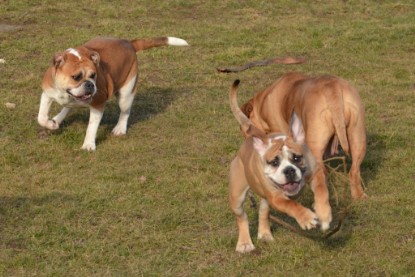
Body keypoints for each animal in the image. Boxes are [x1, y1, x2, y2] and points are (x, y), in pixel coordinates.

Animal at [38, 36, 188, 151]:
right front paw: (51, 124)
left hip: (126, 95)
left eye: (93, 75)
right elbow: (41, 117)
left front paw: (88, 145)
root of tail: (129, 43)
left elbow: (91, 126)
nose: (90, 84)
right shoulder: (47, 94)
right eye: (76, 77)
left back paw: (120, 128)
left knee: (125, 112)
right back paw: (57, 119)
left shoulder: (98, 103)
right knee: (67, 107)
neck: (66, 93)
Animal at [229, 80, 316, 252]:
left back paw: (264, 234)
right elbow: (291, 204)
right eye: (274, 162)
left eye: (296, 158)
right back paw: (244, 243)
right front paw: (306, 217)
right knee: (242, 217)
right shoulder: (276, 197)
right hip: (237, 197)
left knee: (263, 211)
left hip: (264, 199)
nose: (289, 170)